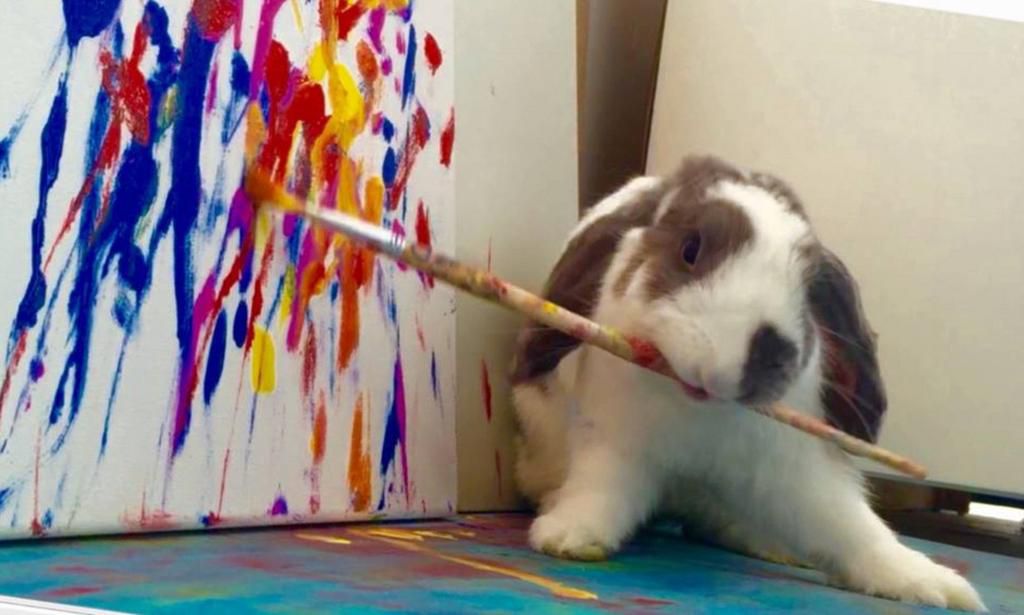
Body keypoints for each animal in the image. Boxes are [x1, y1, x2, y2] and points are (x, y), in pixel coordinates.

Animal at [508, 155, 986, 612]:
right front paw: (567, 535)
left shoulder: (796, 474)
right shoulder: (614, 440)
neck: (699, 414)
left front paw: (936, 585)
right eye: (690, 248)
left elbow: (851, 527)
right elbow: (601, 487)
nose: (730, 361)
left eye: (809, 291)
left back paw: (774, 548)